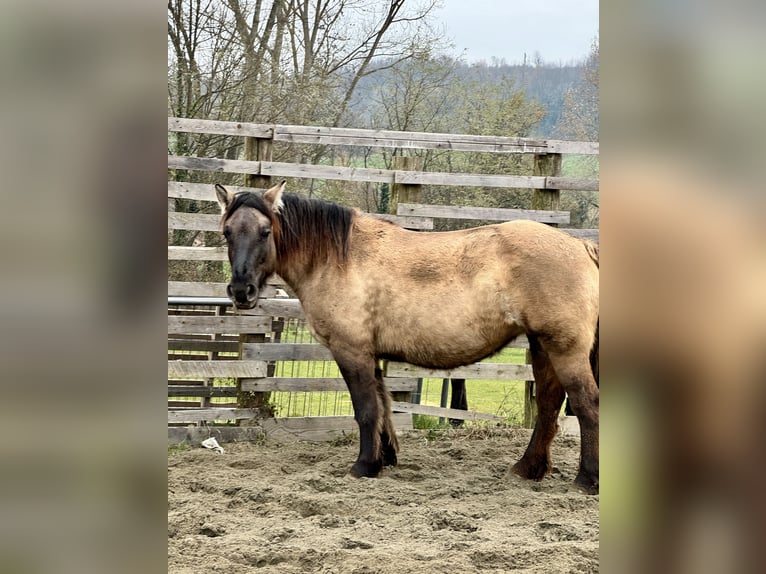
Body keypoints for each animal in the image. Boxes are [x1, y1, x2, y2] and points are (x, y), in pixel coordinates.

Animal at [214, 182, 600, 492]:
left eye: (265, 231)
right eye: (227, 232)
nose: (241, 291)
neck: (339, 258)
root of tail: (581, 245)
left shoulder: (351, 351)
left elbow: (366, 410)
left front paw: (364, 466)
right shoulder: (372, 355)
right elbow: (383, 406)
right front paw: (384, 458)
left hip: (565, 349)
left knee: (586, 405)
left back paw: (587, 479)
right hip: (543, 346)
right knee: (548, 405)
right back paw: (527, 469)